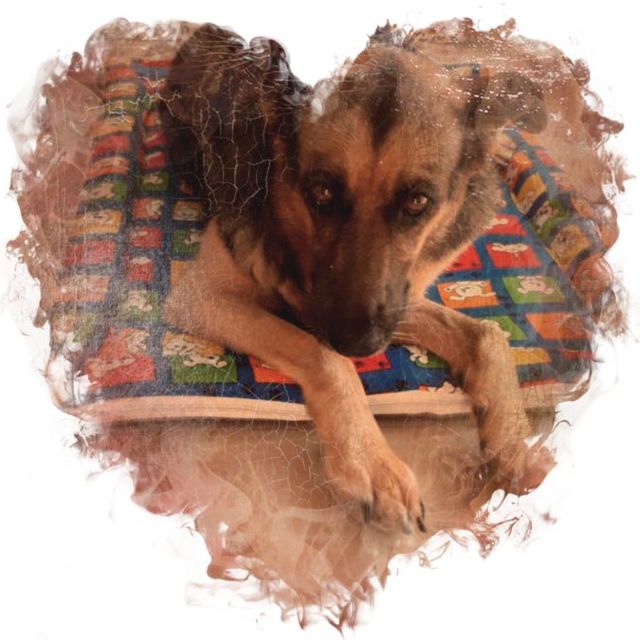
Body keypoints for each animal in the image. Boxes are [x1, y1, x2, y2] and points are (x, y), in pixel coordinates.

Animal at [160, 23, 547, 535]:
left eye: (418, 202)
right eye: (321, 192)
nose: (359, 342)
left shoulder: (396, 298)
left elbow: (487, 333)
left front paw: (513, 443)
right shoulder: (204, 296)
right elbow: (323, 355)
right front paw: (373, 463)